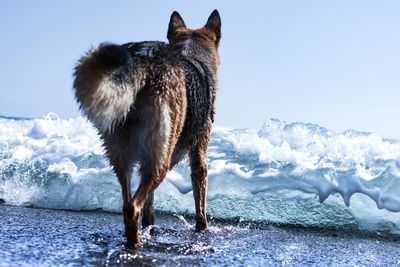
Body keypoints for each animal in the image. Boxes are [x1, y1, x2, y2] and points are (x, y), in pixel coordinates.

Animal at [72, 10, 222, 245]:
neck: (191, 54)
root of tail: (144, 58)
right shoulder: (198, 157)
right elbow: (201, 206)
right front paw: (202, 229)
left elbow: (149, 208)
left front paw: (150, 225)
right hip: (160, 160)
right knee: (133, 207)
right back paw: (136, 244)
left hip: (123, 155)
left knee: (127, 205)